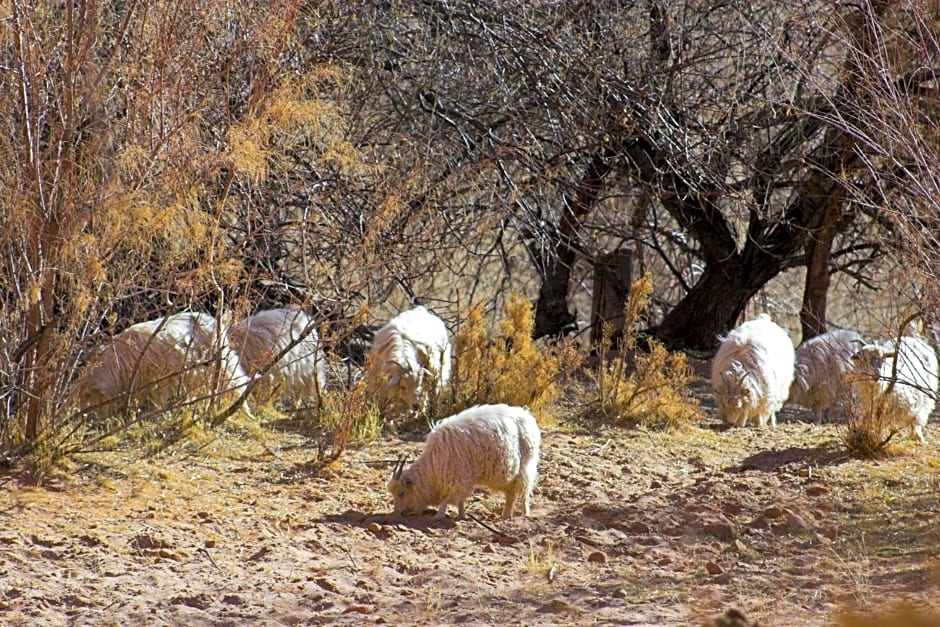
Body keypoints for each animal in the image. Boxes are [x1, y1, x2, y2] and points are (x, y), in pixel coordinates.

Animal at [73, 312, 250, 418]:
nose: (78, 414)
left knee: (235, 383)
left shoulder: (160, 380)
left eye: (88, 395)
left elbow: (157, 403)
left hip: (222, 366)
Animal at [386, 404, 540, 524]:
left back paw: (525, 514)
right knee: (511, 494)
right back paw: (506, 515)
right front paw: (462, 515)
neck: (433, 467)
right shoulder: (460, 479)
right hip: (509, 475)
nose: (398, 513)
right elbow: (460, 500)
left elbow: (447, 499)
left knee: (524, 493)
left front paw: (438, 515)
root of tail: (527, 417)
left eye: (401, 493)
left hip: (525, 468)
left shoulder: (456, 478)